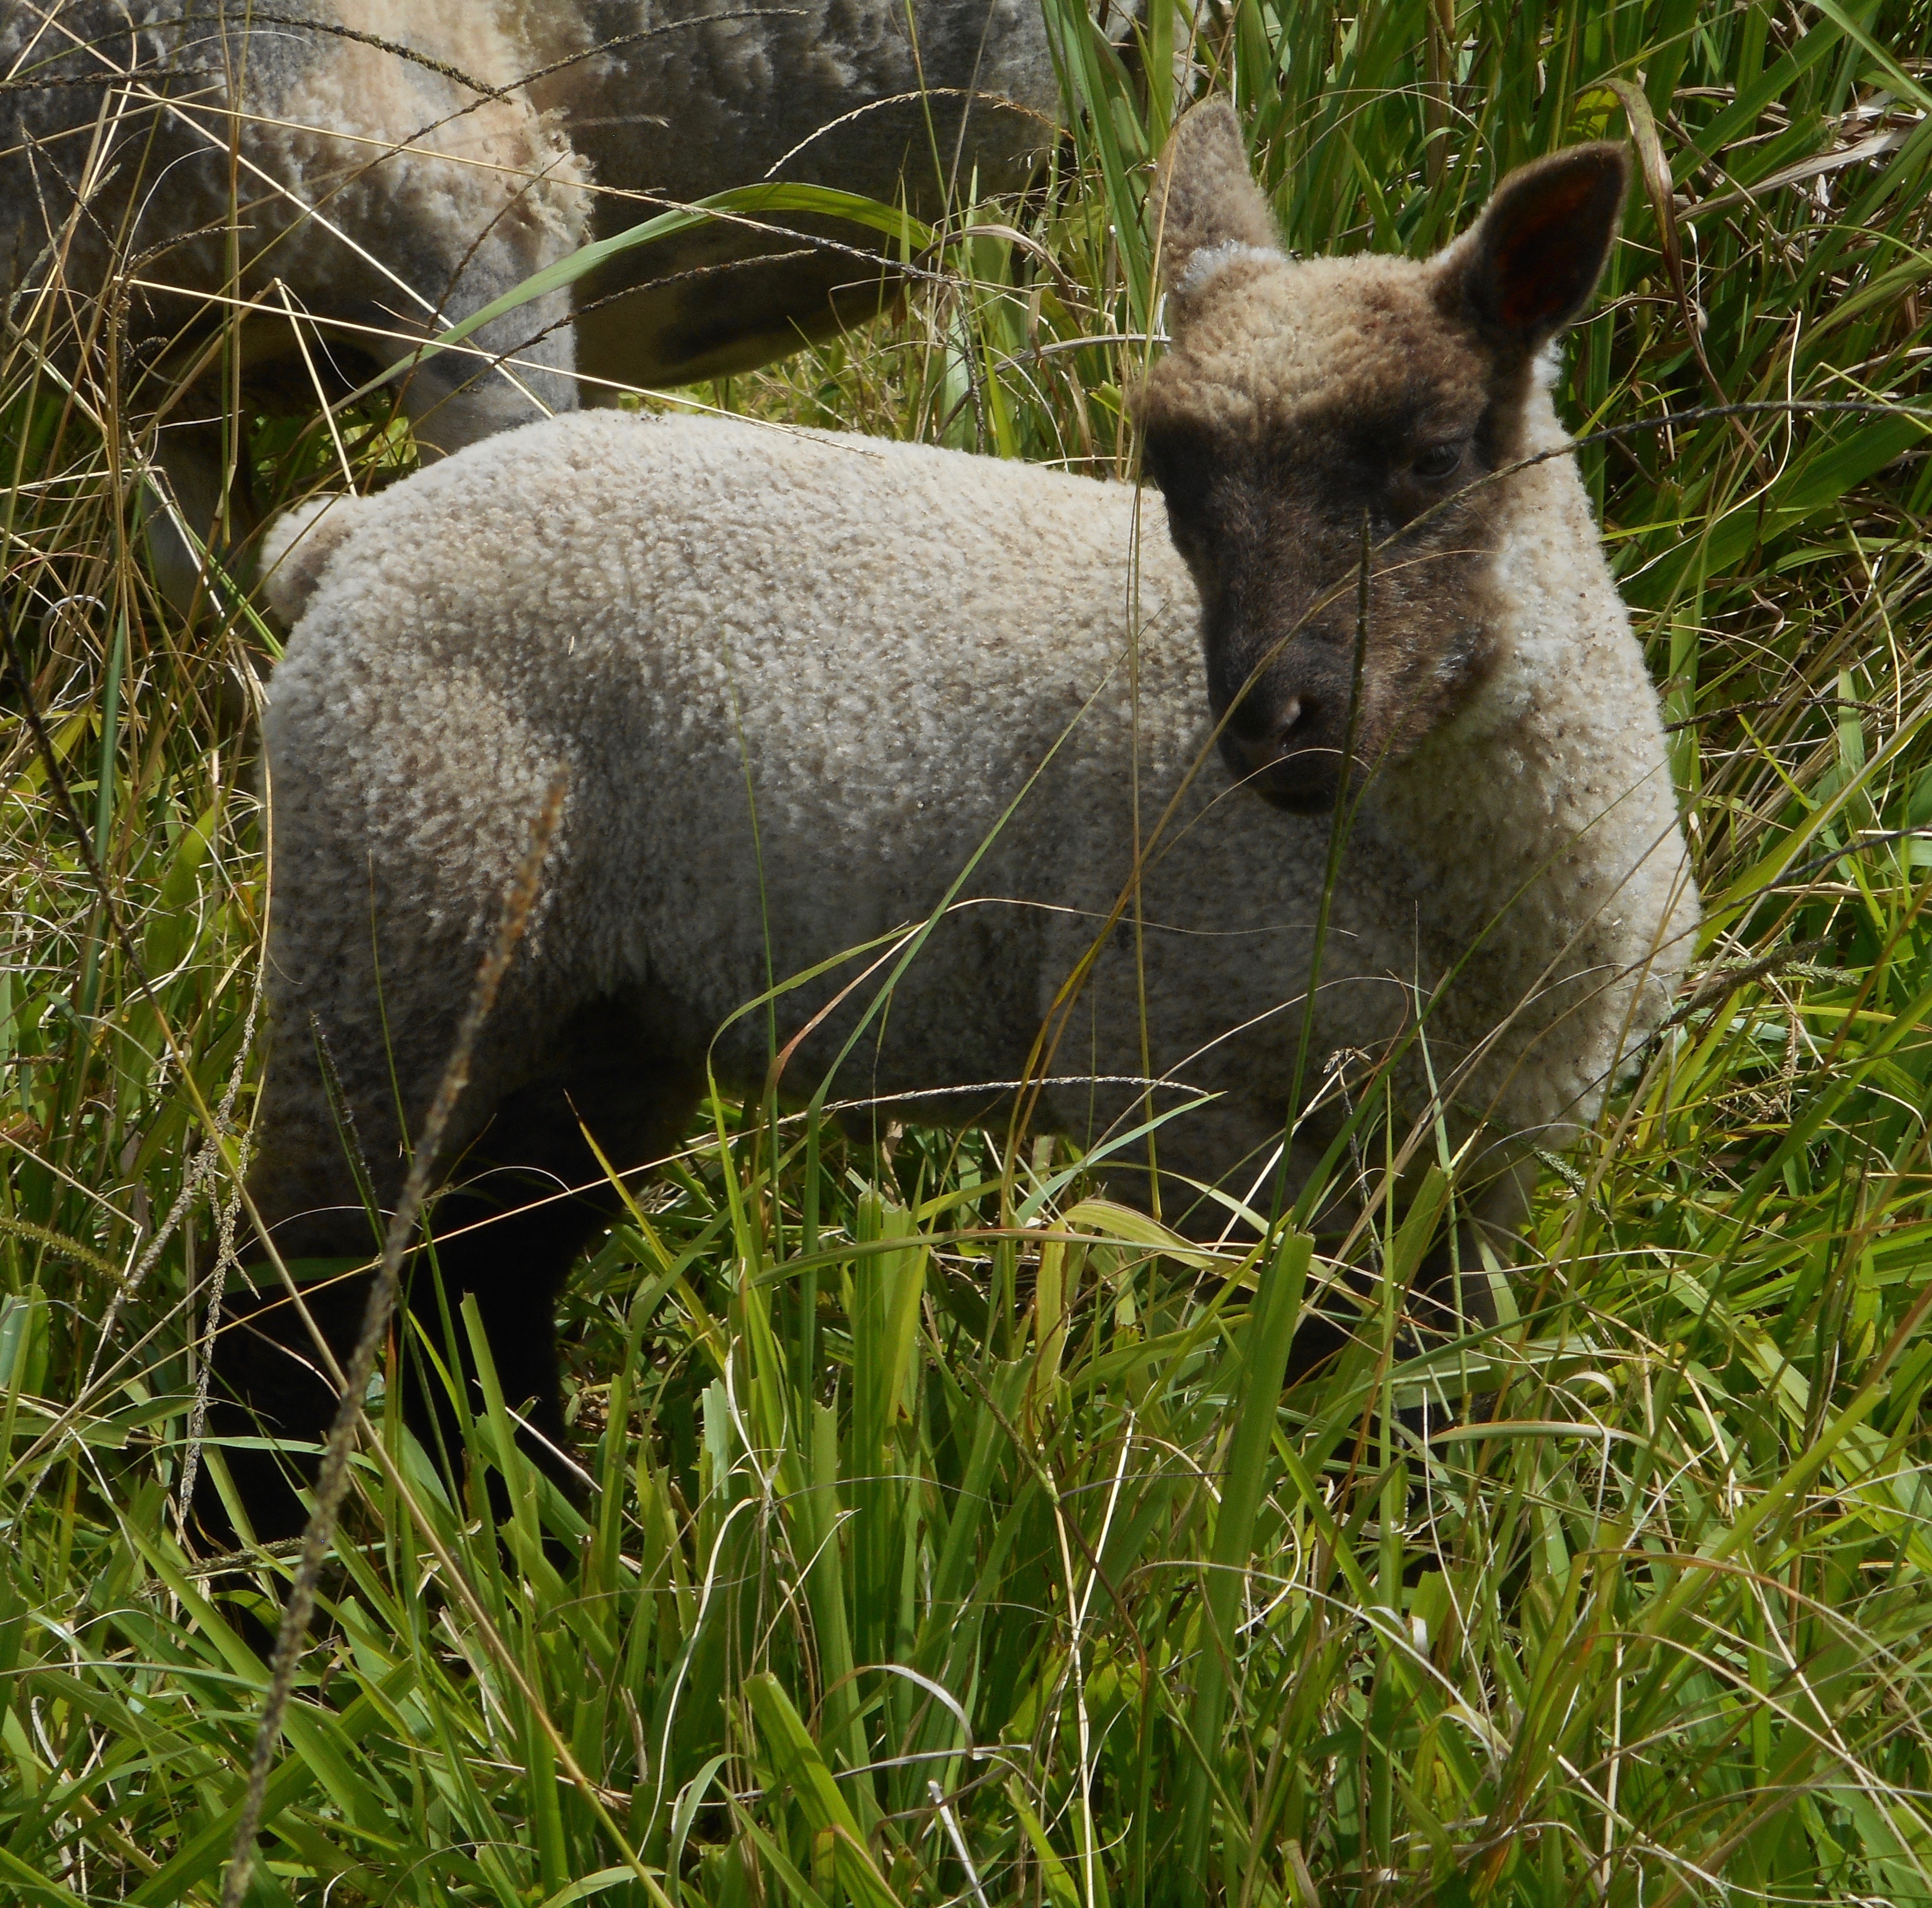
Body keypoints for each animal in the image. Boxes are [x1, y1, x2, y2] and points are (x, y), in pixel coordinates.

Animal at [199, 104, 1708, 1554]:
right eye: (1171, 477)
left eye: (1436, 454)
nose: (1272, 721)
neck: (1441, 893)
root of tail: (356, 539)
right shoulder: (1161, 1091)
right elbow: (1341, 1348)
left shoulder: (1491, 1153)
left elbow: (1433, 1381)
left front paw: (1430, 1563)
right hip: (404, 909)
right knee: (294, 1299)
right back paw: (257, 1572)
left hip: (597, 1014)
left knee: (484, 1280)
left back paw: (553, 1540)